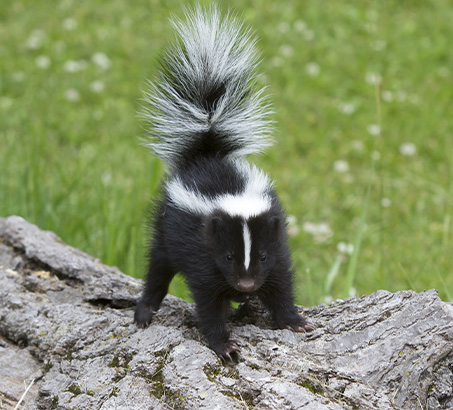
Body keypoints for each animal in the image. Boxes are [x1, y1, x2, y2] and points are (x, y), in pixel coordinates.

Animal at [132, 5, 312, 358]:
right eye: (228, 256)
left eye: (262, 256)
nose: (245, 285)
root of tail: (207, 154)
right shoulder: (201, 252)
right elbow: (208, 300)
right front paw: (223, 344)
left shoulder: (277, 243)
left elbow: (281, 282)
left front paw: (293, 320)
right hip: (165, 229)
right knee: (157, 267)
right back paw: (145, 310)